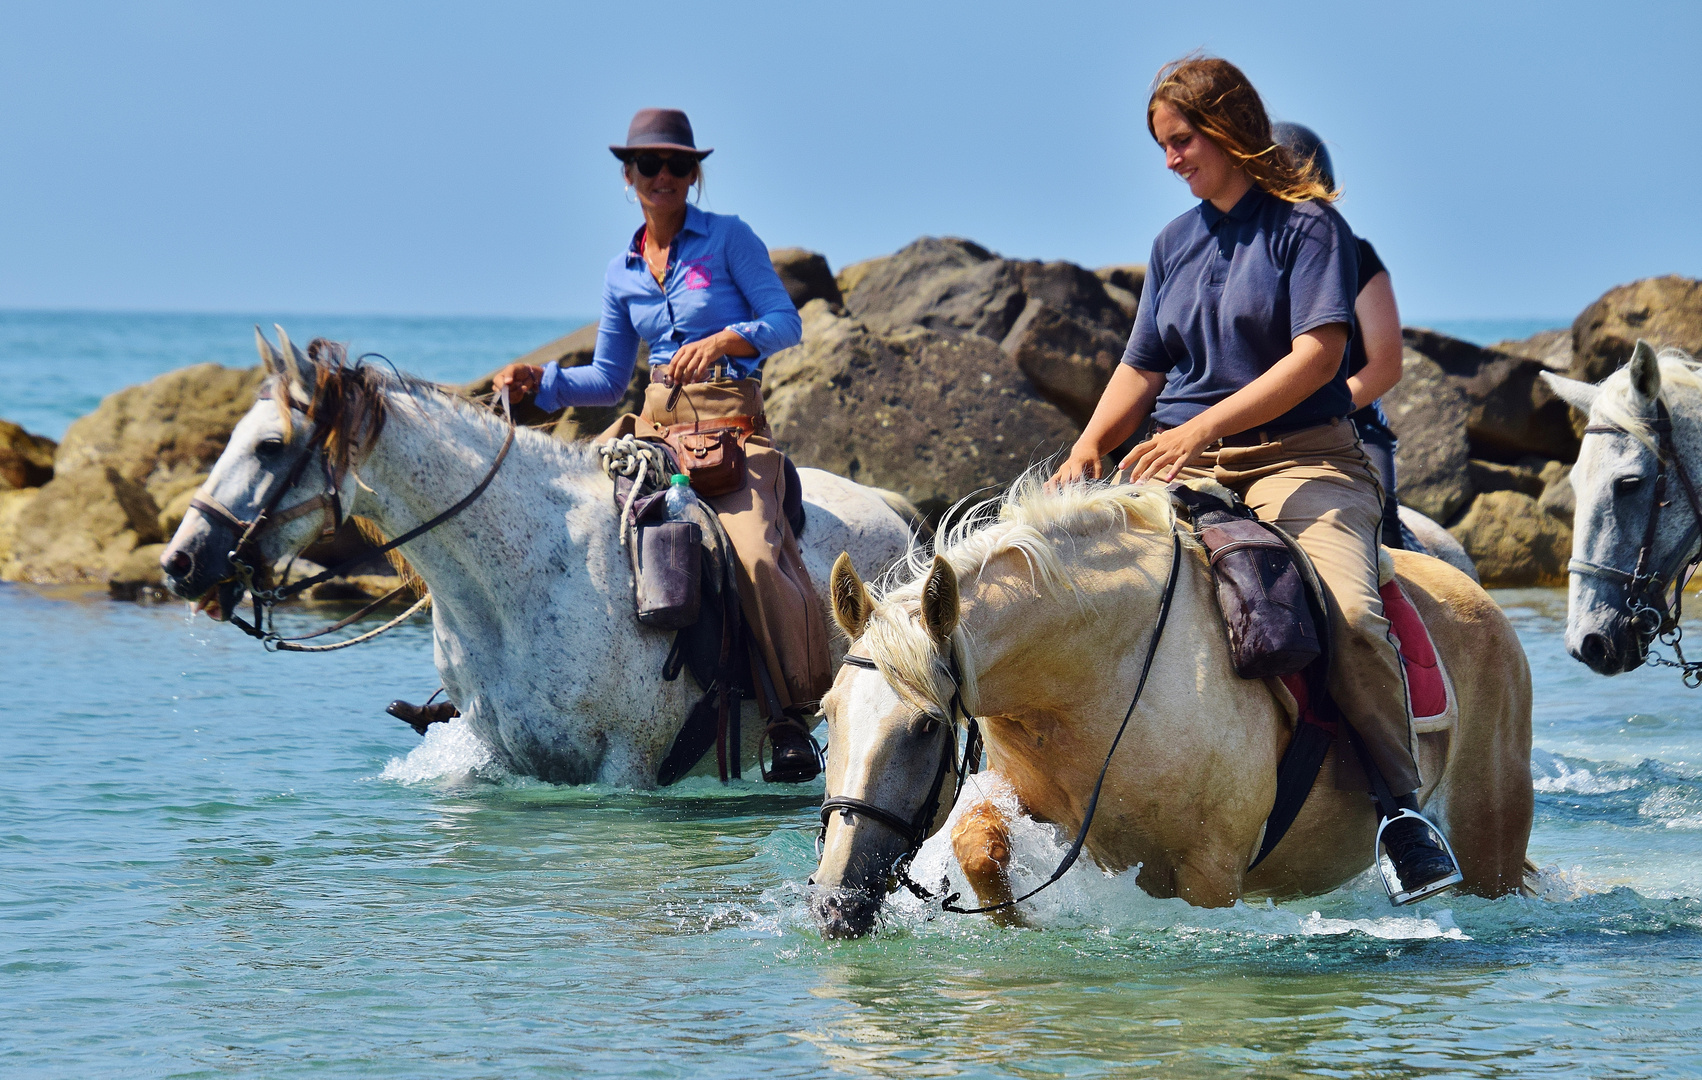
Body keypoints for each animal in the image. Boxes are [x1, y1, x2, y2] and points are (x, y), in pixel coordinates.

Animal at [159, 329, 919, 785]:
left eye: (270, 446)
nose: (182, 561)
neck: (518, 584)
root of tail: (889, 508)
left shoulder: (626, 770)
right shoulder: (497, 757)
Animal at [803, 476, 1538, 932]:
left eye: (927, 727)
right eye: (828, 713)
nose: (836, 905)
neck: (1103, 668)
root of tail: (1478, 598)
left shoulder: (1211, 875)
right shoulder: (1037, 800)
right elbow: (978, 843)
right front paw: (1017, 923)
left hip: (1489, 844)